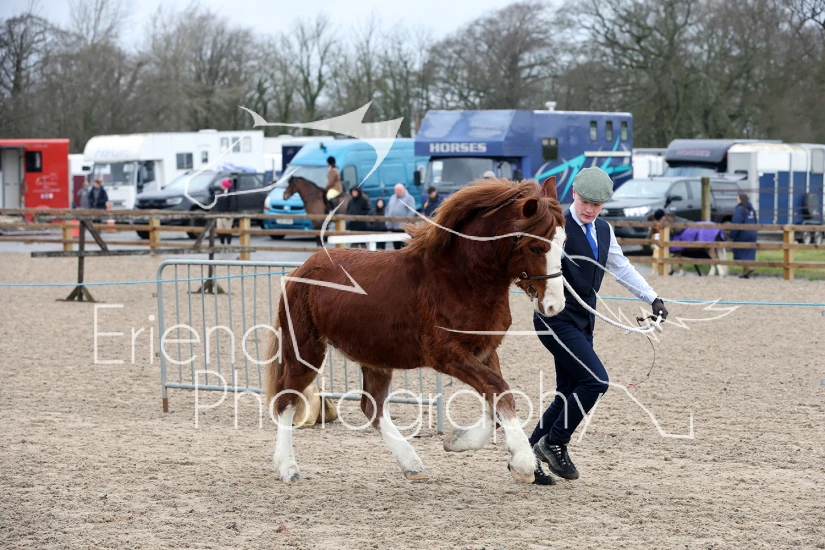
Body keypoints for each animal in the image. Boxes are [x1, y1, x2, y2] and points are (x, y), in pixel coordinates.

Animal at [264, 176, 567, 484]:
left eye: (563, 242)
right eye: (534, 247)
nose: (555, 305)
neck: (464, 279)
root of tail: (298, 271)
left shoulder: (484, 351)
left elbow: (496, 399)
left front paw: (456, 441)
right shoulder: (446, 354)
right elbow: (500, 390)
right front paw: (523, 462)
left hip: (375, 357)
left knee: (372, 407)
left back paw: (412, 464)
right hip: (306, 351)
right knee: (285, 399)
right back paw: (287, 467)